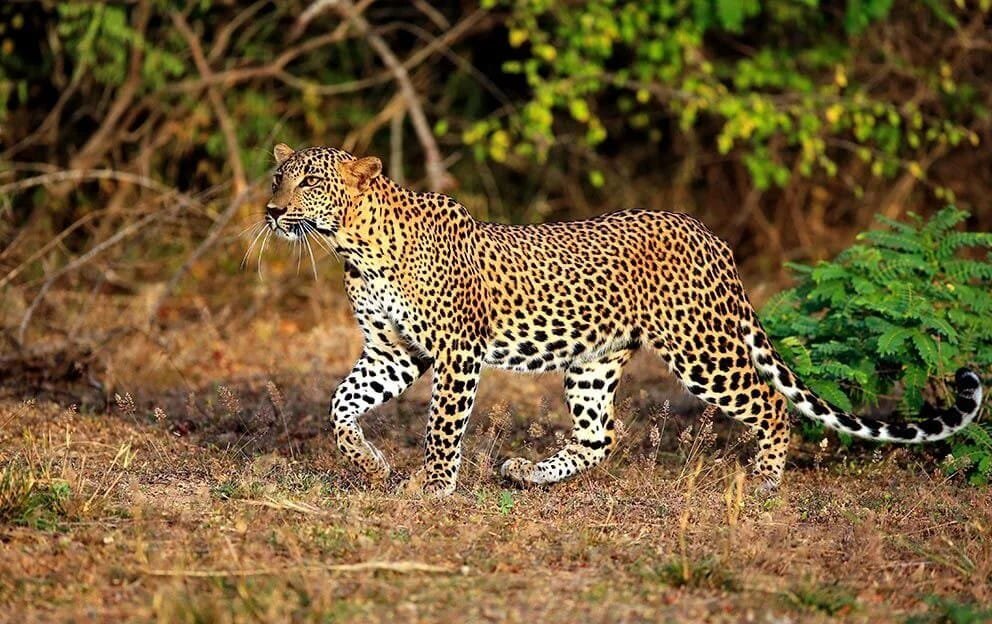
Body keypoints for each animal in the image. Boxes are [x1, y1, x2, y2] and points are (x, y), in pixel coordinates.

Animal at [261, 142, 983, 496]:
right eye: (276, 177)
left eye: (310, 182)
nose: (270, 211)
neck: (353, 245)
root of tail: (708, 235)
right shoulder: (394, 351)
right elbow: (340, 405)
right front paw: (370, 466)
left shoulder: (456, 352)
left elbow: (442, 428)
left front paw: (430, 487)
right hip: (593, 359)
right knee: (601, 436)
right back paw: (529, 475)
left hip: (701, 349)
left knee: (770, 404)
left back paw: (766, 481)